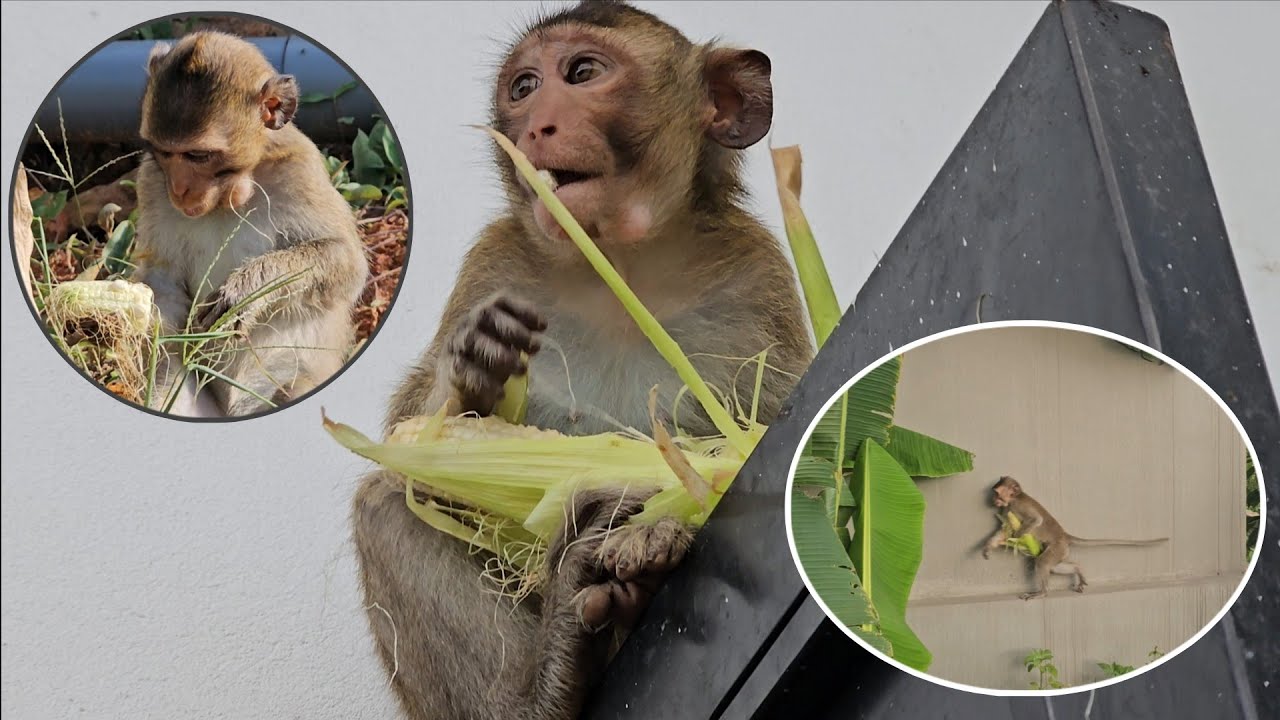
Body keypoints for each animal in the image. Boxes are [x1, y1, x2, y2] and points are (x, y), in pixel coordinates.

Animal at [130, 32, 368, 418]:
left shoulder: (300, 171)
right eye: (165, 153)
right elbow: (161, 283)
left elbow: (345, 261)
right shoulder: (151, 181)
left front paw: (246, 292)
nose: (179, 190)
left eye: (198, 155)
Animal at [351, 3, 814, 718]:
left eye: (582, 73)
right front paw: (470, 375)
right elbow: (412, 450)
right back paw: (543, 684)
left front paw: (659, 522)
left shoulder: (755, 277)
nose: (537, 125)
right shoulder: (492, 264)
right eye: (523, 87)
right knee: (386, 502)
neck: (621, 263)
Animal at [982, 476, 1168, 600]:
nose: (993, 499)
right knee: (1053, 567)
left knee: (1043, 563)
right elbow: (1003, 531)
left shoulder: (1018, 505)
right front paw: (988, 548)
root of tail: (1064, 536)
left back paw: (1042, 592)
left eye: (997, 493)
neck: (1013, 499)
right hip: (1061, 551)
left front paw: (1017, 537)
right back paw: (1078, 569)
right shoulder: (1007, 509)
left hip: (1057, 547)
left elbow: (1036, 520)